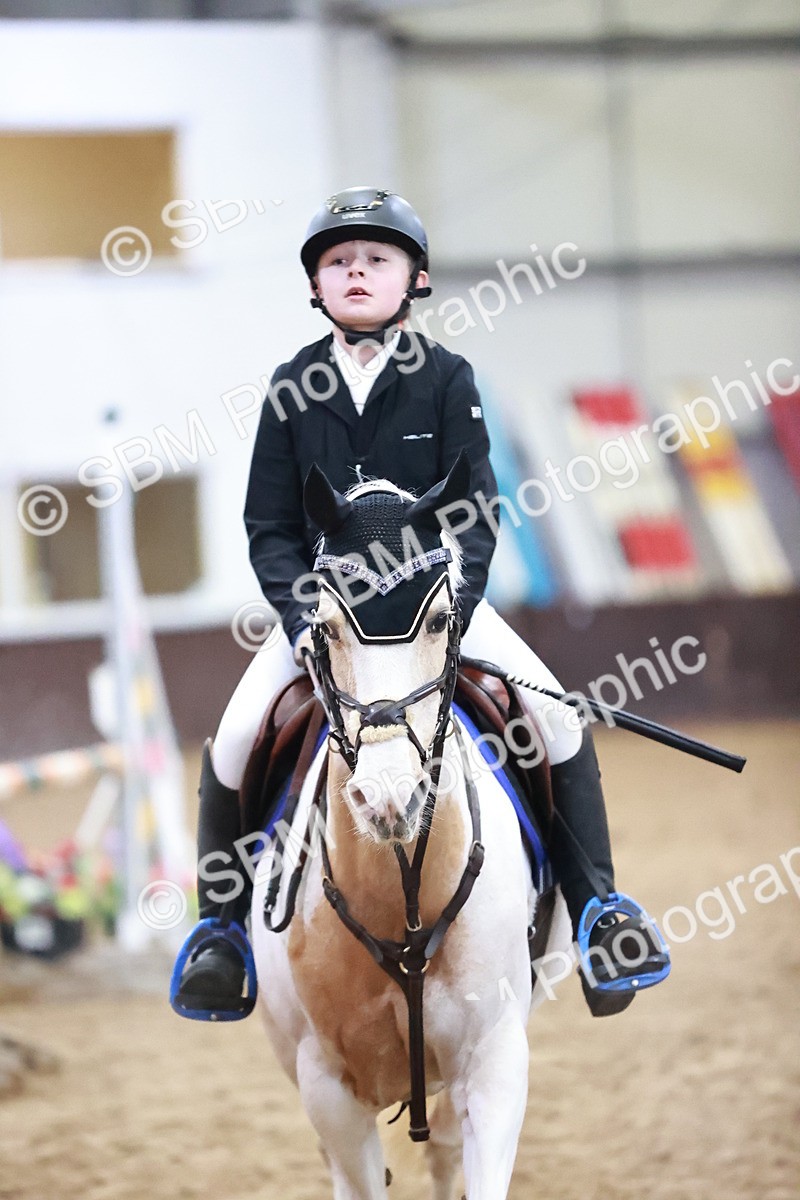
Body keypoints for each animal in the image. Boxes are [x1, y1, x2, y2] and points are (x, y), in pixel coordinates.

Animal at [250, 455, 572, 1200]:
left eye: (441, 619)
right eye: (325, 627)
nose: (390, 797)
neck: (402, 892)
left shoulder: (493, 1064)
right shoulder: (328, 1089)